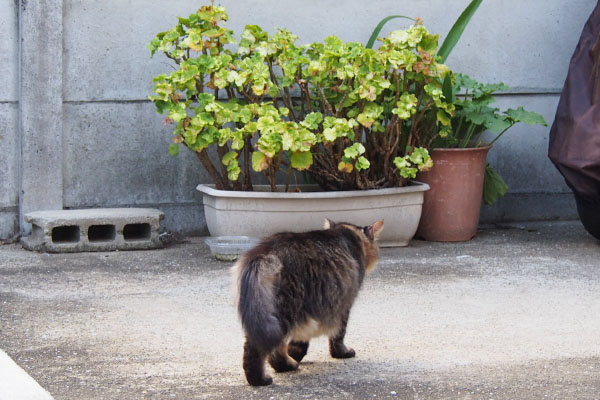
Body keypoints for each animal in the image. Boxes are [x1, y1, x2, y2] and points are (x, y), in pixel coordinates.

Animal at [232, 220, 382, 386]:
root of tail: (265, 251)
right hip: (286, 311)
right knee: (265, 350)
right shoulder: (342, 305)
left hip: (262, 314)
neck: (348, 232)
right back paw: (266, 376)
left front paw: (294, 354)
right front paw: (342, 353)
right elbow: (337, 335)